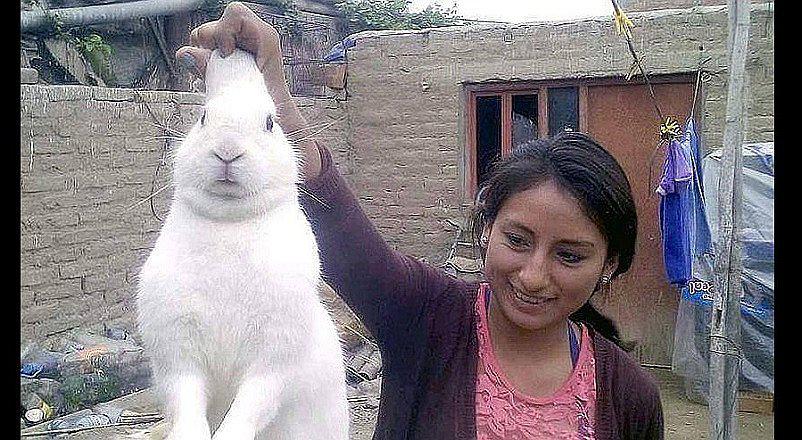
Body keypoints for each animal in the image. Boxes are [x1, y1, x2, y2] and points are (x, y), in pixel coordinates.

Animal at [136, 49, 349, 440]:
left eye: (269, 123)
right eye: (203, 118)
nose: (227, 151)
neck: (230, 222)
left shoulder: (273, 361)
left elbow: (251, 404)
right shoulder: (178, 355)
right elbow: (186, 399)